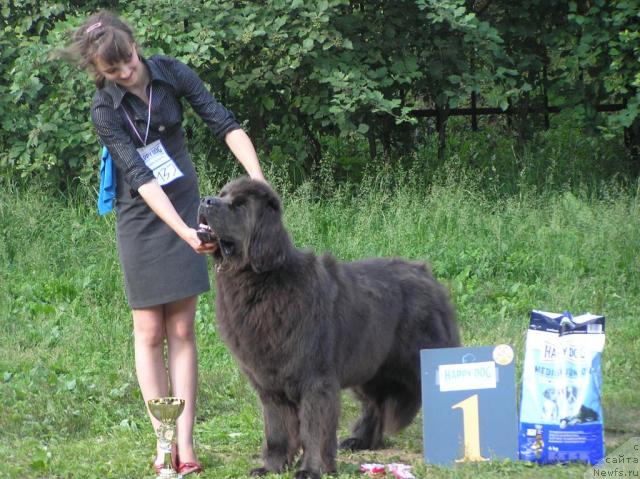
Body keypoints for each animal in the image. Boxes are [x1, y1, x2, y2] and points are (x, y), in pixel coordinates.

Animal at [199, 179, 460, 479]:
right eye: (222, 195)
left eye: (239, 206)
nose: (205, 200)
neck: (260, 281)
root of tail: (425, 273)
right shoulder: (270, 384)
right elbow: (276, 429)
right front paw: (271, 467)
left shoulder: (316, 380)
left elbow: (314, 428)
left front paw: (312, 469)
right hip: (370, 365)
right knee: (374, 404)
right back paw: (360, 440)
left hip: (419, 360)